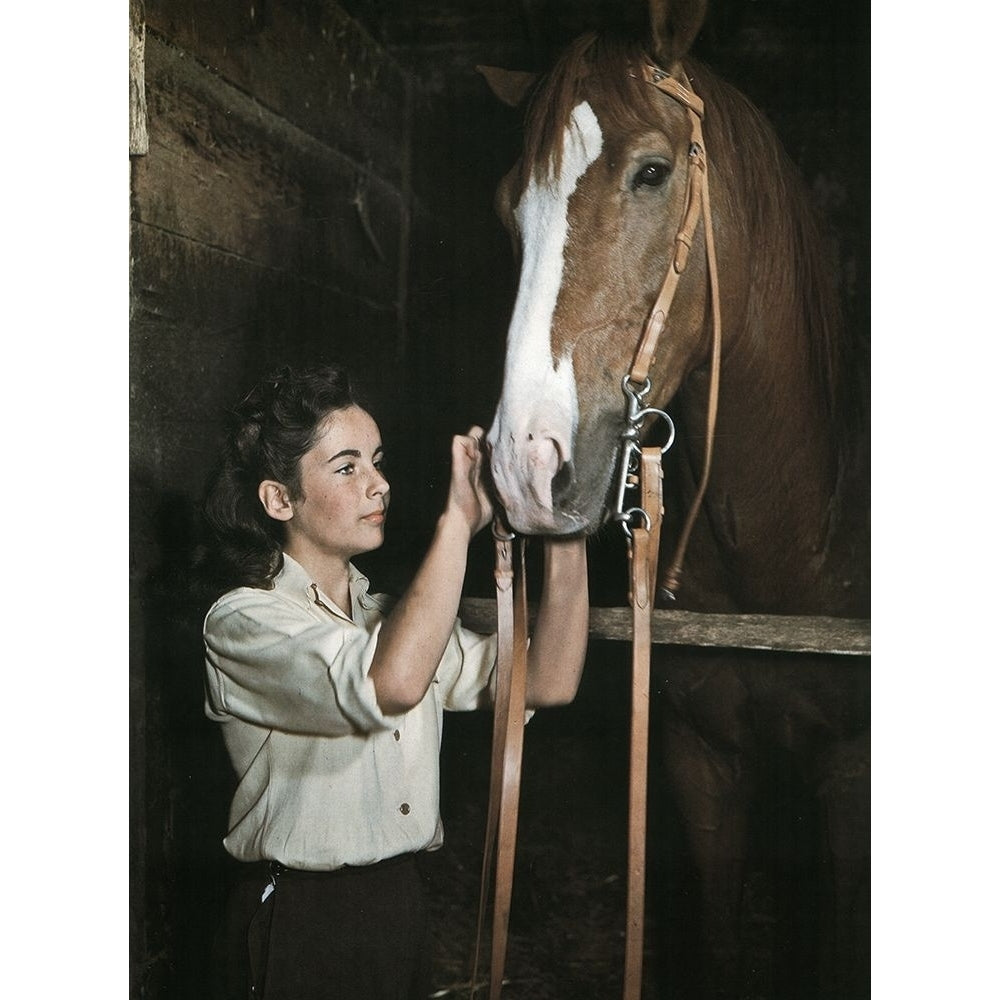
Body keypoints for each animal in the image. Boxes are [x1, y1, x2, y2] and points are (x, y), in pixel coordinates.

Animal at [482, 1, 868, 1000]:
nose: (524, 466)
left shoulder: (850, 779)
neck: (785, 533)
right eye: (509, 208)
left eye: (652, 172)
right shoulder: (701, 766)